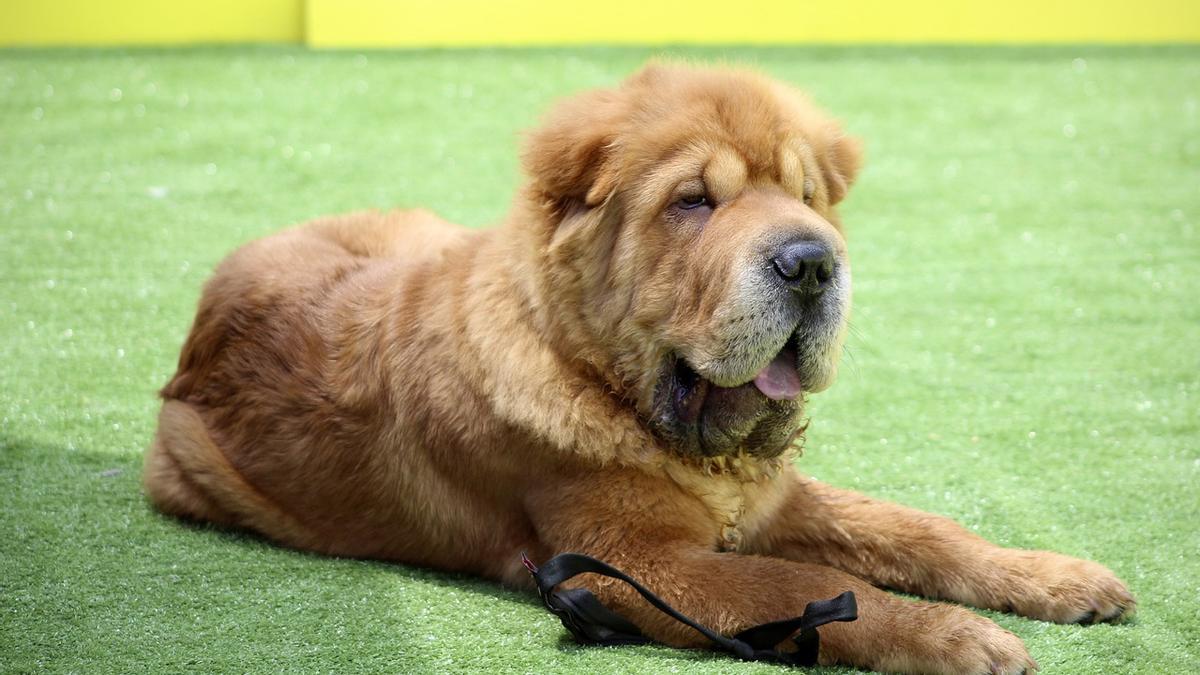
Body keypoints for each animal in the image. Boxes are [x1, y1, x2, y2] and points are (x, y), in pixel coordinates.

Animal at [147, 64, 1132, 672]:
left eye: (806, 195)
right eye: (694, 202)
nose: (813, 261)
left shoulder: (771, 503)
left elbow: (917, 531)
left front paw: (1056, 578)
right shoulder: (627, 562)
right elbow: (812, 585)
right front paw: (960, 637)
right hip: (192, 473)